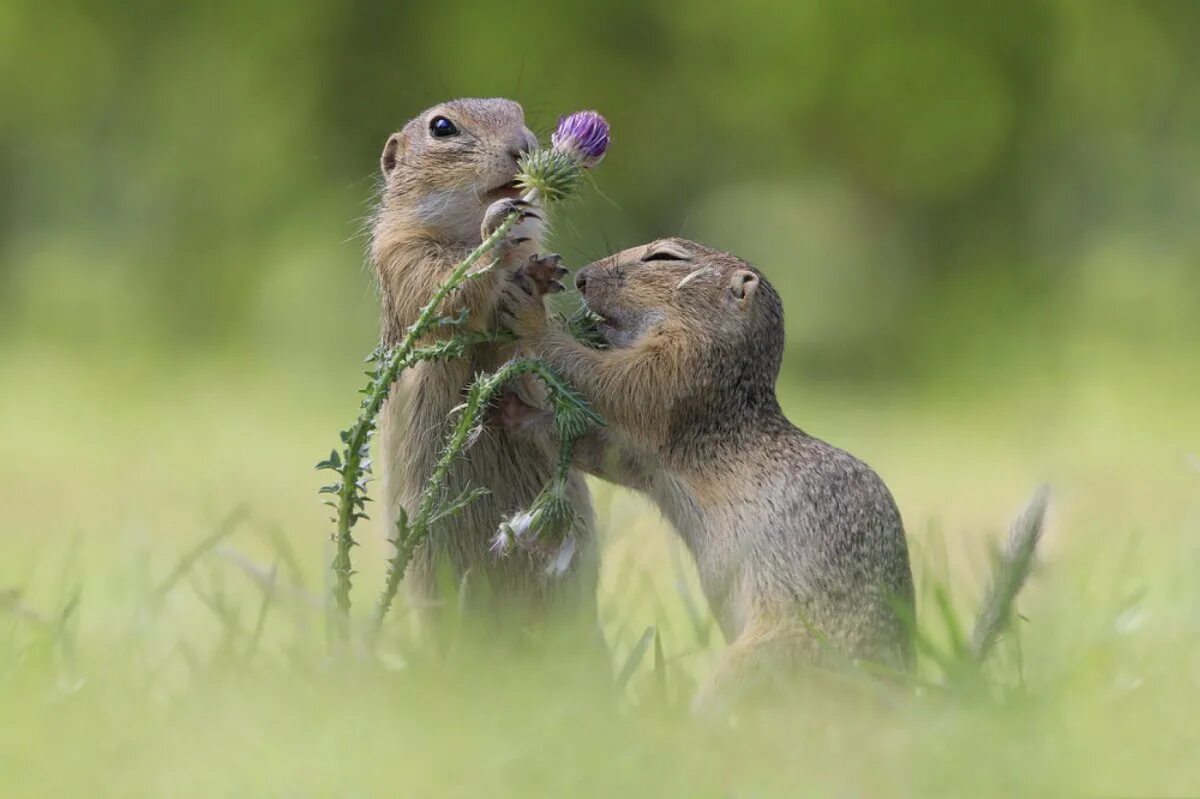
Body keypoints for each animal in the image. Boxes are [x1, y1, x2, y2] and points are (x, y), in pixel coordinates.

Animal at [369, 97, 595, 623]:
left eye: (517, 111)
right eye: (441, 127)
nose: (524, 146)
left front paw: (540, 274)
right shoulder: (402, 255)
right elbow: (446, 294)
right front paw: (498, 225)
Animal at [501, 239, 912, 700]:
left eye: (663, 257)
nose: (582, 277)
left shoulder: (672, 377)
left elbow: (605, 380)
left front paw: (530, 317)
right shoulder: (643, 459)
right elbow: (601, 448)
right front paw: (514, 411)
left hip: (765, 658)